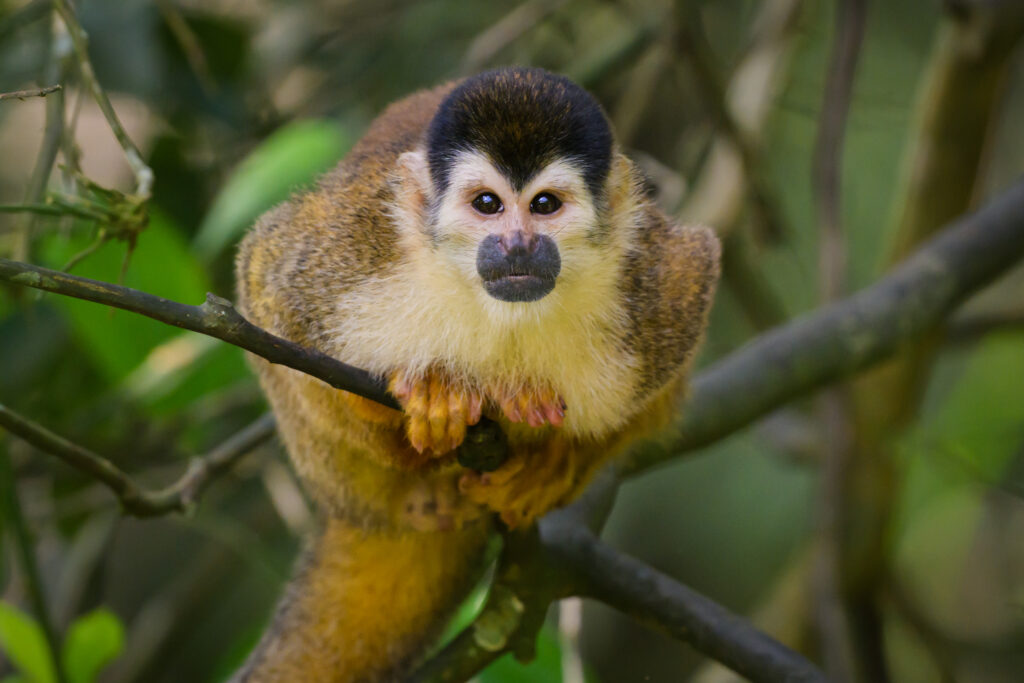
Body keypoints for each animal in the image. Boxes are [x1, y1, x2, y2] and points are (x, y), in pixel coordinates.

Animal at [232, 66, 720, 682]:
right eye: (487, 204)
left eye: (545, 205)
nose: (518, 245)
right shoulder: (349, 252)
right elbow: (265, 277)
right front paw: (401, 409)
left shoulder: (661, 287)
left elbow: (696, 272)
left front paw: (560, 463)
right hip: (338, 478)